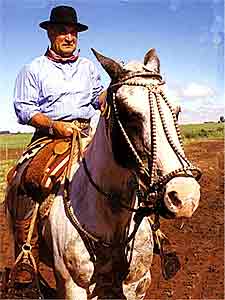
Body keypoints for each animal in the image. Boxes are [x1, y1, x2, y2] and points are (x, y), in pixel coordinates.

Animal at [7, 48, 201, 298]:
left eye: (176, 111)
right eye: (129, 114)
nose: (185, 197)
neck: (112, 217)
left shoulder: (137, 284)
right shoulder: (73, 287)